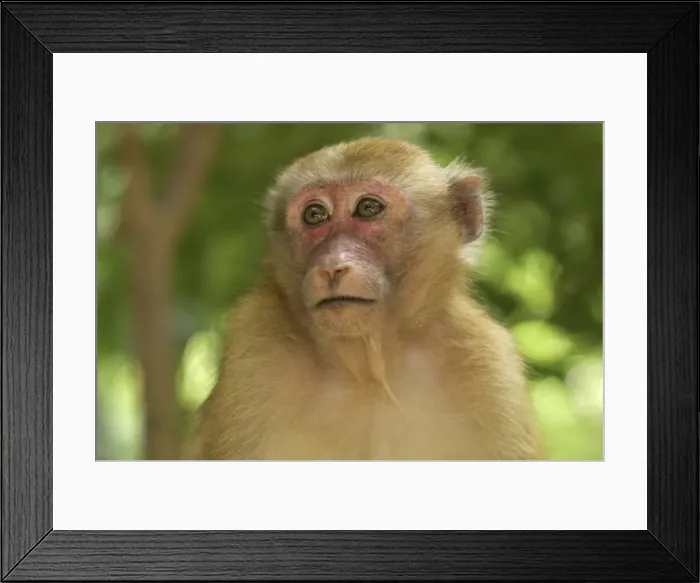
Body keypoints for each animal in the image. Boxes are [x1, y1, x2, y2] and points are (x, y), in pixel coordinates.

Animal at [183, 136, 546, 461]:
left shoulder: (488, 364)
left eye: (368, 208)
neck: (369, 370)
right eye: (315, 214)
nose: (332, 266)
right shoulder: (255, 348)